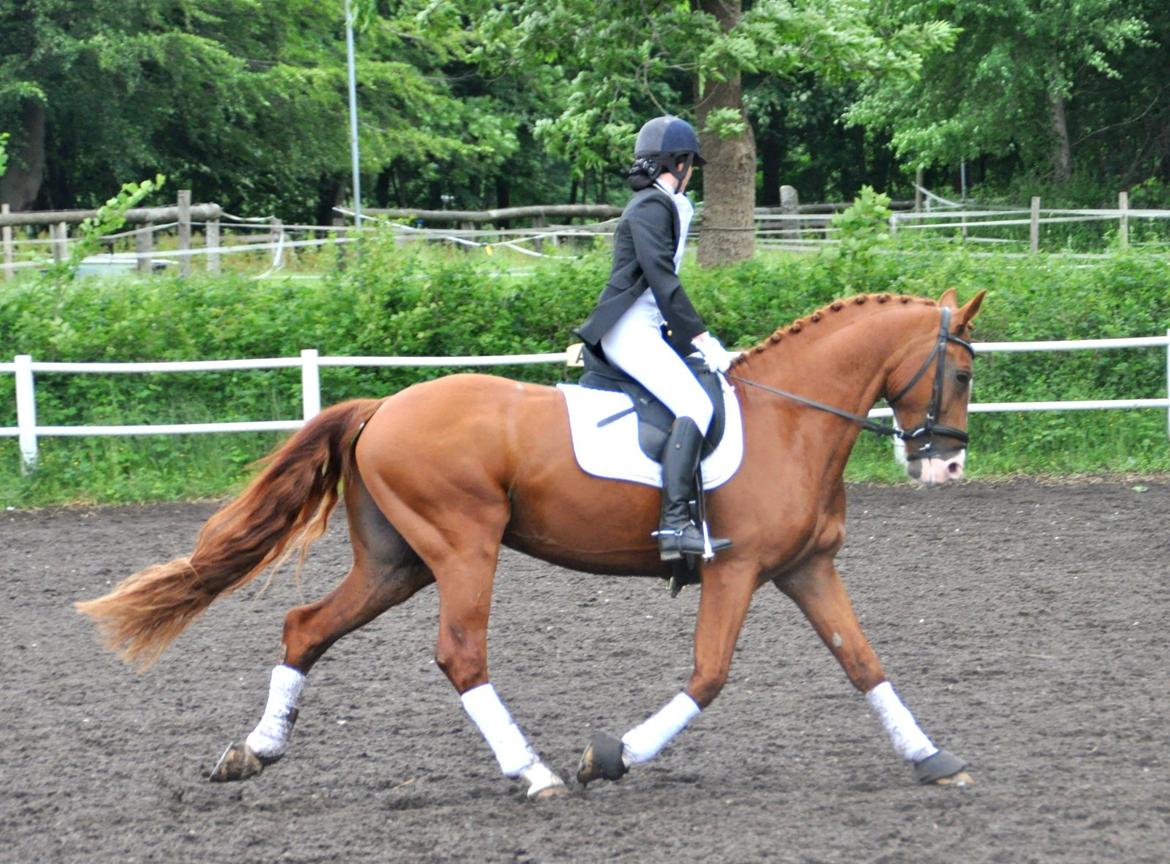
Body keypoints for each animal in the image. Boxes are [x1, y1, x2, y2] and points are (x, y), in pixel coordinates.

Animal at [77, 285, 982, 796]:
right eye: (966, 372)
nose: (947, 465)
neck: (791, 420)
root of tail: (382, 407)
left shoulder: (806, 568)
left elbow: (863, 662)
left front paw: (933, 759)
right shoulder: (738, 570)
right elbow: (709, 676)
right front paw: (608, 757)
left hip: (398, 563)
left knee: (306, 627)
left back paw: (256, 752)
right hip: (462, 548)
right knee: (460, 655)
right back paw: (535, 773)